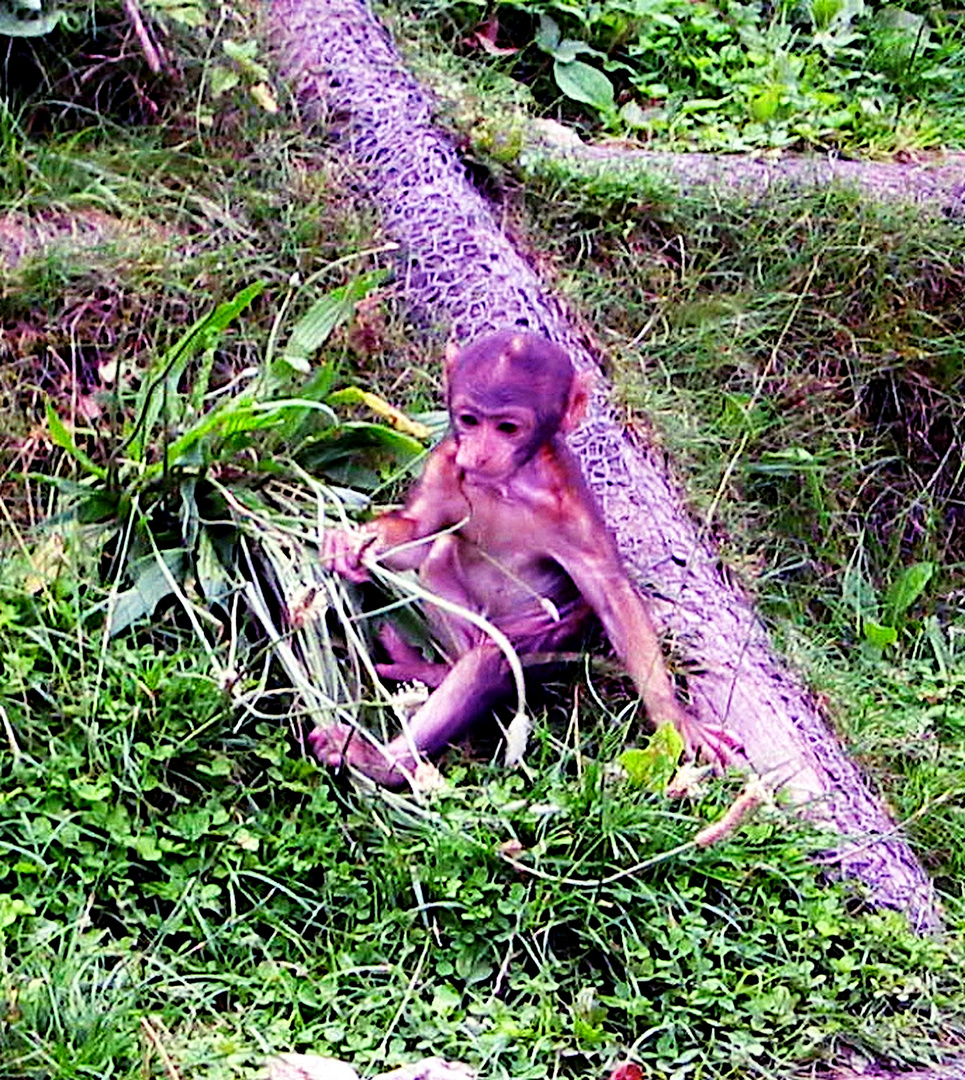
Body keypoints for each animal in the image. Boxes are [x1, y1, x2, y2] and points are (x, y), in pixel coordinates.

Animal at [313, 328, 738, 786]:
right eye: (469, 420)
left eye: (508, 427)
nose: (479, 452)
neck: (507, 485)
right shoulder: (446, 464)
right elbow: (420, 537)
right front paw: (351, 543)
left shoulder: (570, 509)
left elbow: (614, 598)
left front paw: (675, 719)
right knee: (441, 563)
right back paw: (432, 673)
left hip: (545, 640)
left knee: (489, 662)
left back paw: (378, 760)